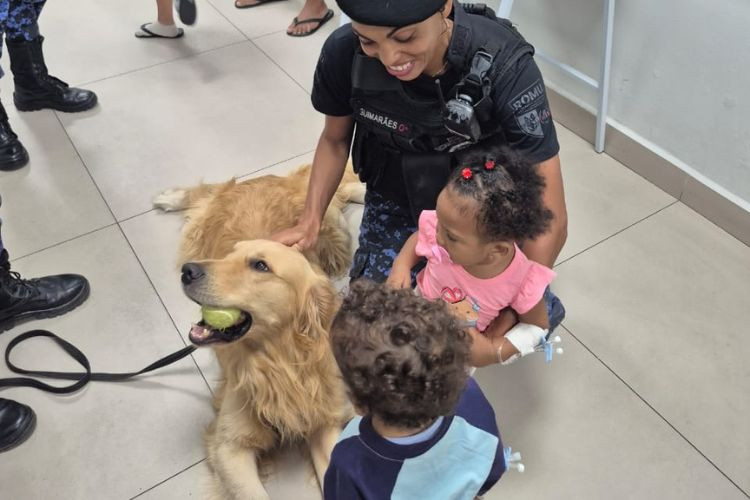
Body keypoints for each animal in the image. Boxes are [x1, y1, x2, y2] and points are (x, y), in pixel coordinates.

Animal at [153, 166, 363, 499]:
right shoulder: (228, 444)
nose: (188, 271)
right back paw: (170, 197)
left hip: (337, 239)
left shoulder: (322, 420)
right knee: (204, 194)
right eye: (228, 256)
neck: (277, 361)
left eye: (261, 266)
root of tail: (265, 178)